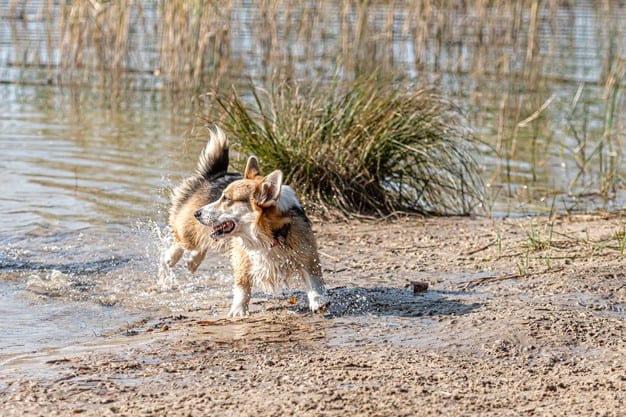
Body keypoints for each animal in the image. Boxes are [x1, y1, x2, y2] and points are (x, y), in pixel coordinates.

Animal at [162, 127, 326, 316]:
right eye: (221, 196)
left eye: (226, 199)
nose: (197, 213)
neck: (269, 235)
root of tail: (215, 174)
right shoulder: (242, 257)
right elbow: (242, 286)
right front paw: (238, 310)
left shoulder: (307, 253)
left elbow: (314, 279)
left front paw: (318, 301)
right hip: (190, 230)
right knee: (181, 241)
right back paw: (170, 258)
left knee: (201, 243)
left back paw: (192, 261)